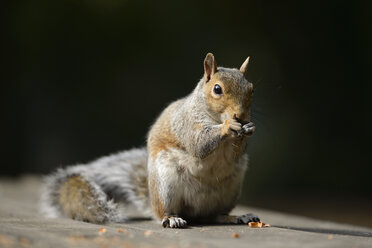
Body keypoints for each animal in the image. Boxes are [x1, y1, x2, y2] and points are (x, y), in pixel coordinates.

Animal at [40, 53, 258, 228]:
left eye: (251, 89)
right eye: (217, 89)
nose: (240, 115)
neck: (214, 117)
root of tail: (194, 212)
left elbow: (234, 155)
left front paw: (248, 127)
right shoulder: (185, 123)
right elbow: (198, 143)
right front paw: (228, 127)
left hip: (230, 190)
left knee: (214, 215)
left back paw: (235, 217)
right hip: (165, 184)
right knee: (165, 212)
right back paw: (171, 218)